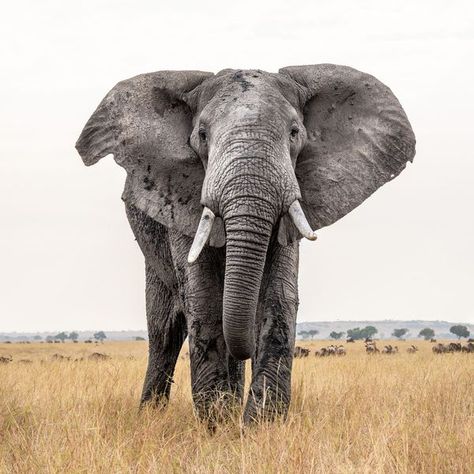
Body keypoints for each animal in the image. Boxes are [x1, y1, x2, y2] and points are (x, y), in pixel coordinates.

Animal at [75, 63, 414, 422]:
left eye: (295, 132)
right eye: (202, 135)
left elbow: (278, 294)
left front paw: (259, 423)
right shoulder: (181, 197)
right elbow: (204, 298)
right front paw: (216, 422)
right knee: (165, 329)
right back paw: (152, 415)